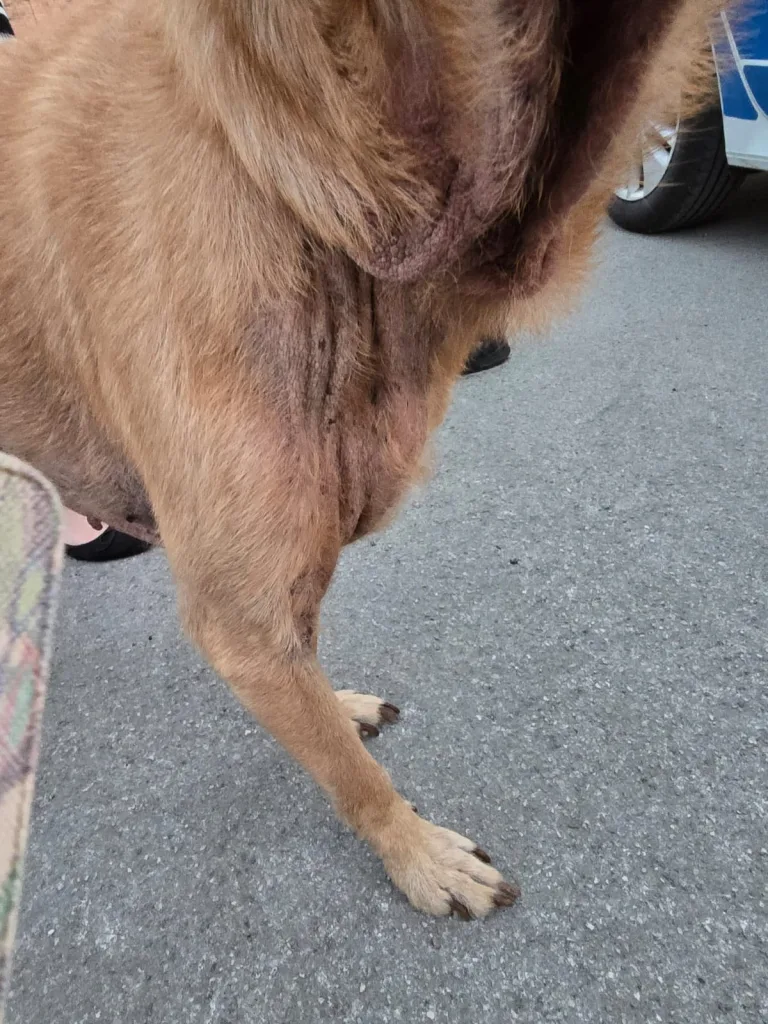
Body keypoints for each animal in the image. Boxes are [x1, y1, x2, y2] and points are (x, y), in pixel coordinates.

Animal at [0, 0, 719, 918]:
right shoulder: (238, 616)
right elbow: (354, 777)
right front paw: (416, 853)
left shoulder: (288, 573)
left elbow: (315, 693)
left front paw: (336, 708)